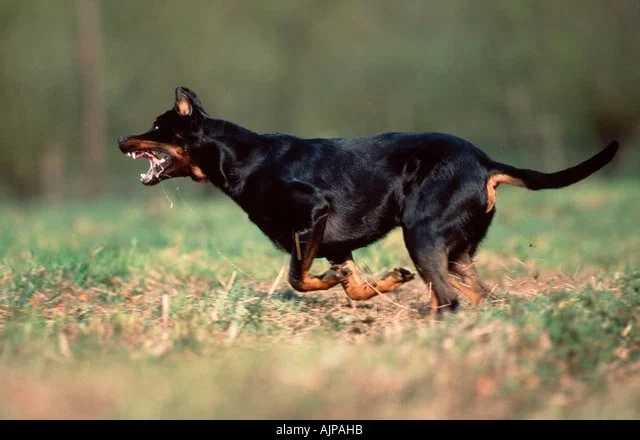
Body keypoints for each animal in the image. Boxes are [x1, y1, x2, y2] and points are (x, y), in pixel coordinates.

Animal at [117, 87, 616, 312]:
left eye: (158, 127)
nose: (122, 138)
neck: (242, 158)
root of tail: (485, 163)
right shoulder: (337, 245)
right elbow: (354, 286)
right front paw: (383, 282)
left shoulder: (312, 216)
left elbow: (299, 278)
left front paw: (333, 283)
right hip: (456, 252)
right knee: (475, 295)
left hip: (422, 233)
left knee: (450, 300)